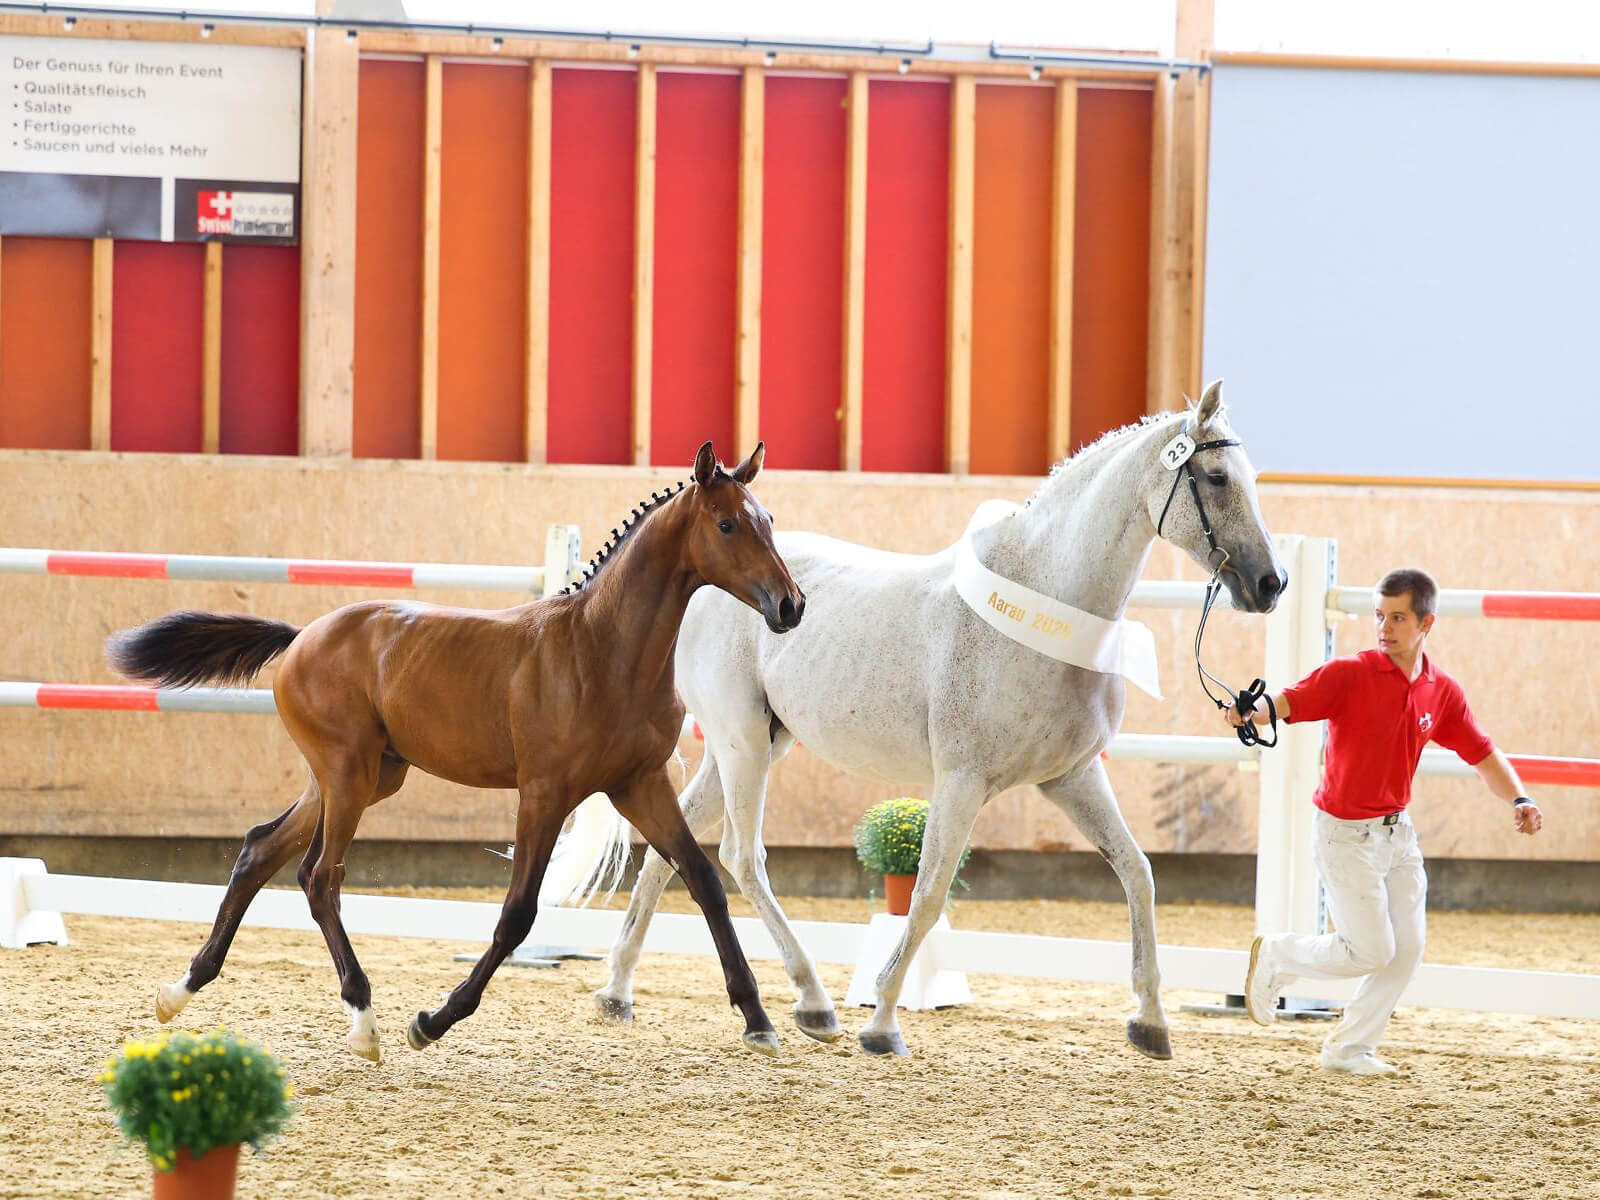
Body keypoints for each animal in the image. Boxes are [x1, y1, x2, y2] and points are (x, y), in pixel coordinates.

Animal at [106, 441, 804, 1063]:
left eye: (768, 520)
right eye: (727, 523)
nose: (791, 605)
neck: (603, 649)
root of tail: (303, 636)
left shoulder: (639, 784)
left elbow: (704, 880)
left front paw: (759, 1020)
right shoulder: (544, 792)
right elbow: (517, 914)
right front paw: (433, 1020)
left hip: (361, 777)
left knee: (259, 851)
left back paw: (179, 992)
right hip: (348, 774)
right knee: (320, 877)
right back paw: (364, 1020)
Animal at [584, 382, 1286, 1058]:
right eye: (1216, 477)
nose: (1270, 584)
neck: (1046, 603)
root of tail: (702, 586)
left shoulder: (1072, 778)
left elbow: (1138, 874)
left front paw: (1151, 1022)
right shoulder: (962, 780)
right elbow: (926, 897)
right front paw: (883, 1023)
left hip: (752, 745)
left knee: (673, 851)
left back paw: (618, 991)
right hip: (743, 744)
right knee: (740, 855)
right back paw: (813, 1004)